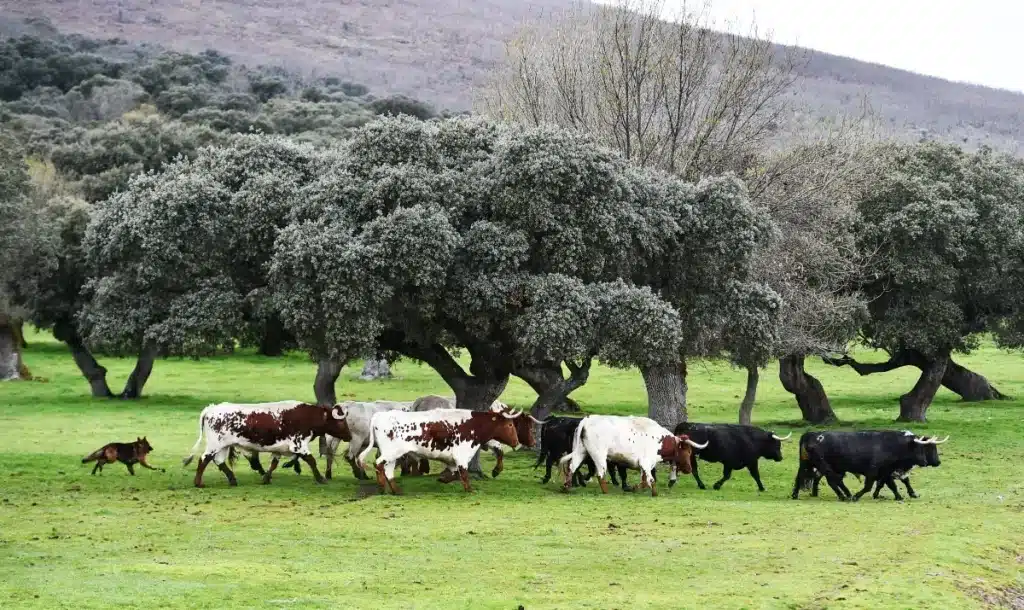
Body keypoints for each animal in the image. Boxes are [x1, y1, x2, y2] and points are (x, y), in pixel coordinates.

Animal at [181, 401, 352, 487]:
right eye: (341, 422)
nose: (350, 436)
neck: (307, 417)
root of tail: (212, 408)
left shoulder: (279, 448)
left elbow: (274, 464)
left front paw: (266, 478)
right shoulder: (298, 445)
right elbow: (311, 460)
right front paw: (321, 478)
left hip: (223, 446)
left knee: (219, 461)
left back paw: (233, 480)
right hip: (214, 444)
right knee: (204, 459)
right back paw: (198, 483)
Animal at [356, 407, 521, 494]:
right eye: (510, 425)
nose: (516, 442)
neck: (473, 425)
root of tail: (380, 415)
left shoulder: (454, 458)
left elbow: (455, 473)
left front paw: (443, 479)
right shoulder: (461, 455)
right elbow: (463, 473)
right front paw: (469, 489)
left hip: (393, 454)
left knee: (388, 470)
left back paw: (396, 490)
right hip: (391, 452)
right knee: (378, 464)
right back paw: (382, 488)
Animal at [559, 415, 707, 497]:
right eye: (687, 452)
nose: (689, 469)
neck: (660, 440)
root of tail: (587, 420)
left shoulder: (644, 466)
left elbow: (644, 481)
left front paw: (634, 488)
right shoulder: (646, 463)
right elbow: (650, 479)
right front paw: (654, 493)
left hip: (581, 451)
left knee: (572, 467)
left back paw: (566, 487)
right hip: (599, 455)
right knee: (600, 474)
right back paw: (605, 491)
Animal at [791, 430, 947, 501]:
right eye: (922, 448)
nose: (936, 462)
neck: (892, 444)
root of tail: (810, 434)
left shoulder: (886, 472)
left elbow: (891, 485)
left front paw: (899, 496)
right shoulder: (873, 471)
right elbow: (868, 486)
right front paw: (856, 496)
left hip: (807, 464)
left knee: (800, 477)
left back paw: (795, 495)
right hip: (825, 466)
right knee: (833, 481)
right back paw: (845, 496)